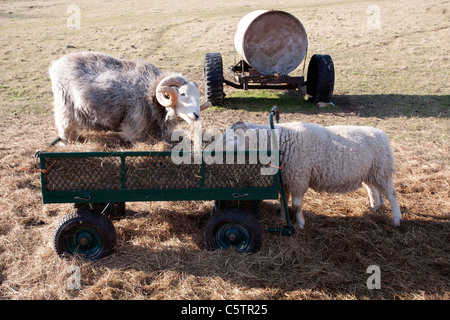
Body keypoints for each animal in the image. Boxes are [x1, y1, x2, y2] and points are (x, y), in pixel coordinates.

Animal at [221, 121, 400, 229]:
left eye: (230, 139)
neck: (280, 143)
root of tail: (381, 133)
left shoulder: (298, 179)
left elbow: (296, 205)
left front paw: (300, 224)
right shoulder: (286, 180)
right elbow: (283, 200)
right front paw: (282, 217)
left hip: (382, 170)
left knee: (391, 194)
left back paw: (396, 219)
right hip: (370, 172)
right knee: (373, 189)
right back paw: (375, 206)